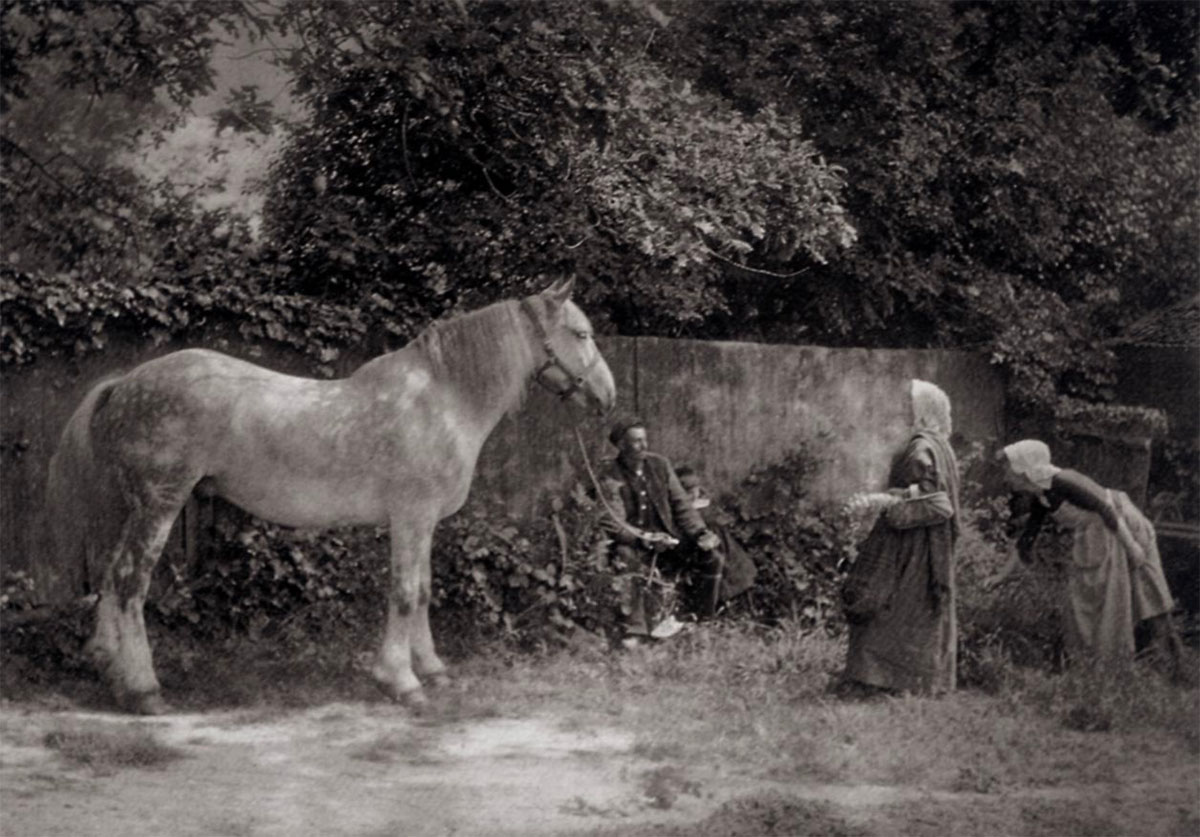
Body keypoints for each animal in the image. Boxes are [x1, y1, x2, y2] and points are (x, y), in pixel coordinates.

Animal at [44, 278, 619, 709]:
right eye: (581, 333)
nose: (608, 397)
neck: (443, 399)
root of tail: (125, 383)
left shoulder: (425, 522)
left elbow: (424, 589)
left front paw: (432, 670)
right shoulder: (411, 517)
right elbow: (404, 592)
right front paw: (401, 682)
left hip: (135, 507)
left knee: (110, 577)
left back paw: (108, 666)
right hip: (160, 505)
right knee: (129, 583)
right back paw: (143, 690)